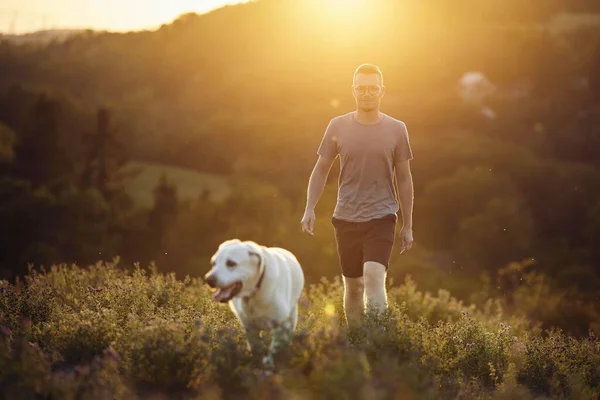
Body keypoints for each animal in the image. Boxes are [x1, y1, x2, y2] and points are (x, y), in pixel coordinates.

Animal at [204, 239, 304, 370]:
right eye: (213, 263)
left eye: (231, 263)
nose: (208, 279)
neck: (253, 294)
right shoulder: (249, 327)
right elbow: (256, 349)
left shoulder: (282, 326)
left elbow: (274, 350)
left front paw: (270, 365)